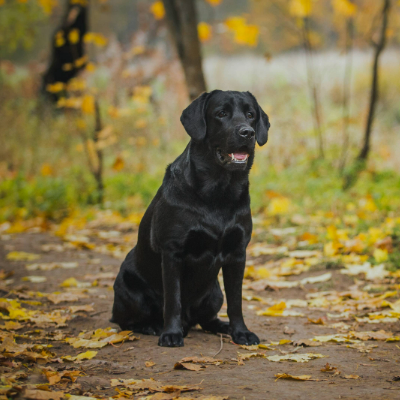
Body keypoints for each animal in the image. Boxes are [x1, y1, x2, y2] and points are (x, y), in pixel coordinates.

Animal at [111, 90, 270, 346]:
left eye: (250, 115)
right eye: (221, 113)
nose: (248, 132)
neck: (219, 192)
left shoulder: (238, 253)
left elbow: (236, 302)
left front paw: (241, 332)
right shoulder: (172, 252)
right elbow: (173, 300)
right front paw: (171, 334)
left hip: (215, 293)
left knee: (206, 319)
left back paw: (221, 326)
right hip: (127, 287)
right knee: (125, 321)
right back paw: (152, 326)